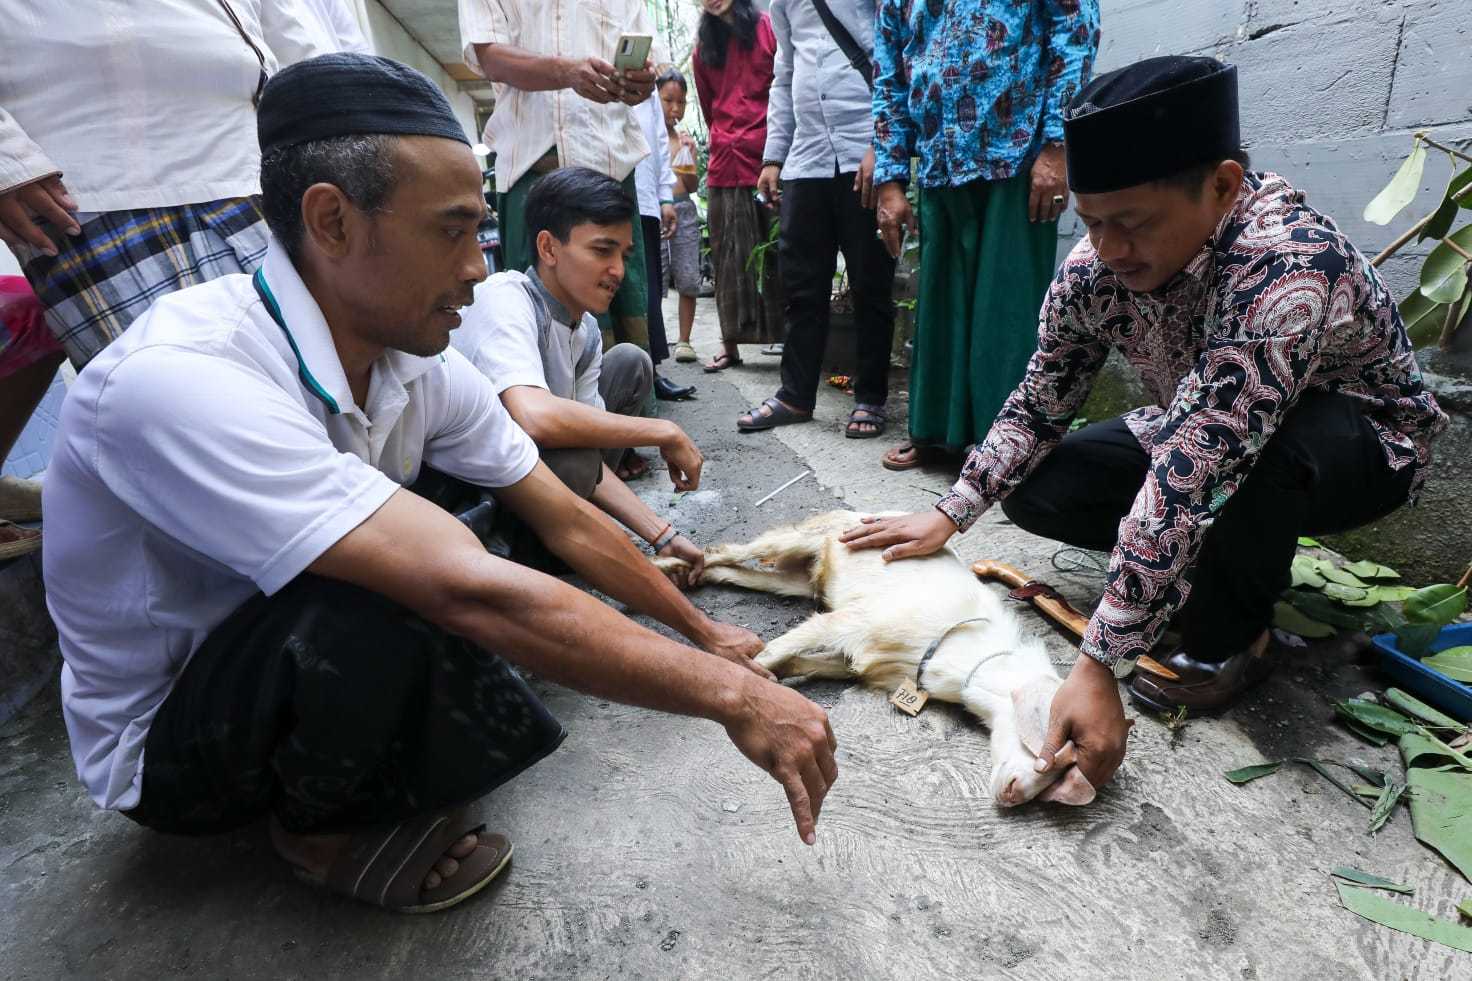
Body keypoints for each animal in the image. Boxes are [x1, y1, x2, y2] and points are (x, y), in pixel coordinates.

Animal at [656, 512, 1095, 801]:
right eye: (1056, 751)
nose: (1014, 796)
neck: (968, 650)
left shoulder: (857, 661)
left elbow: (798, 661)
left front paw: (772, 681)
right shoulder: (849, 621)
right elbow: (773, 651)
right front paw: (740, 681)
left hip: (793, 582)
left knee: (733, 570)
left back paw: (691, 574)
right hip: (798, 539)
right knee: (726, 549)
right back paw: (667, 564)